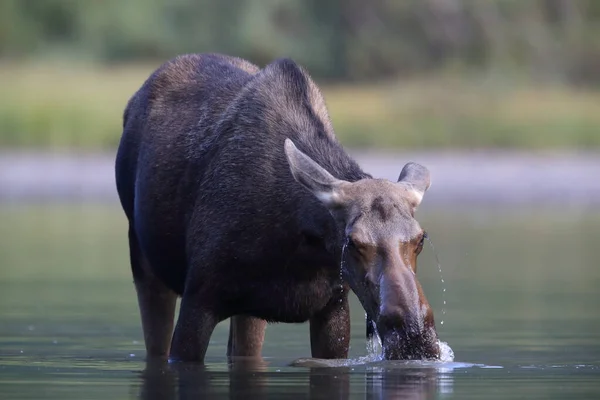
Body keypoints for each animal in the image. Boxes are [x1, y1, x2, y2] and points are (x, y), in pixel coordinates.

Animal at [113, 53, 440, 362]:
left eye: (421, 238)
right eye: (354, 242)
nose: (415, 338)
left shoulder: (333, 305)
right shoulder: (199, 299)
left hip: (248, 310)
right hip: (144, 260)